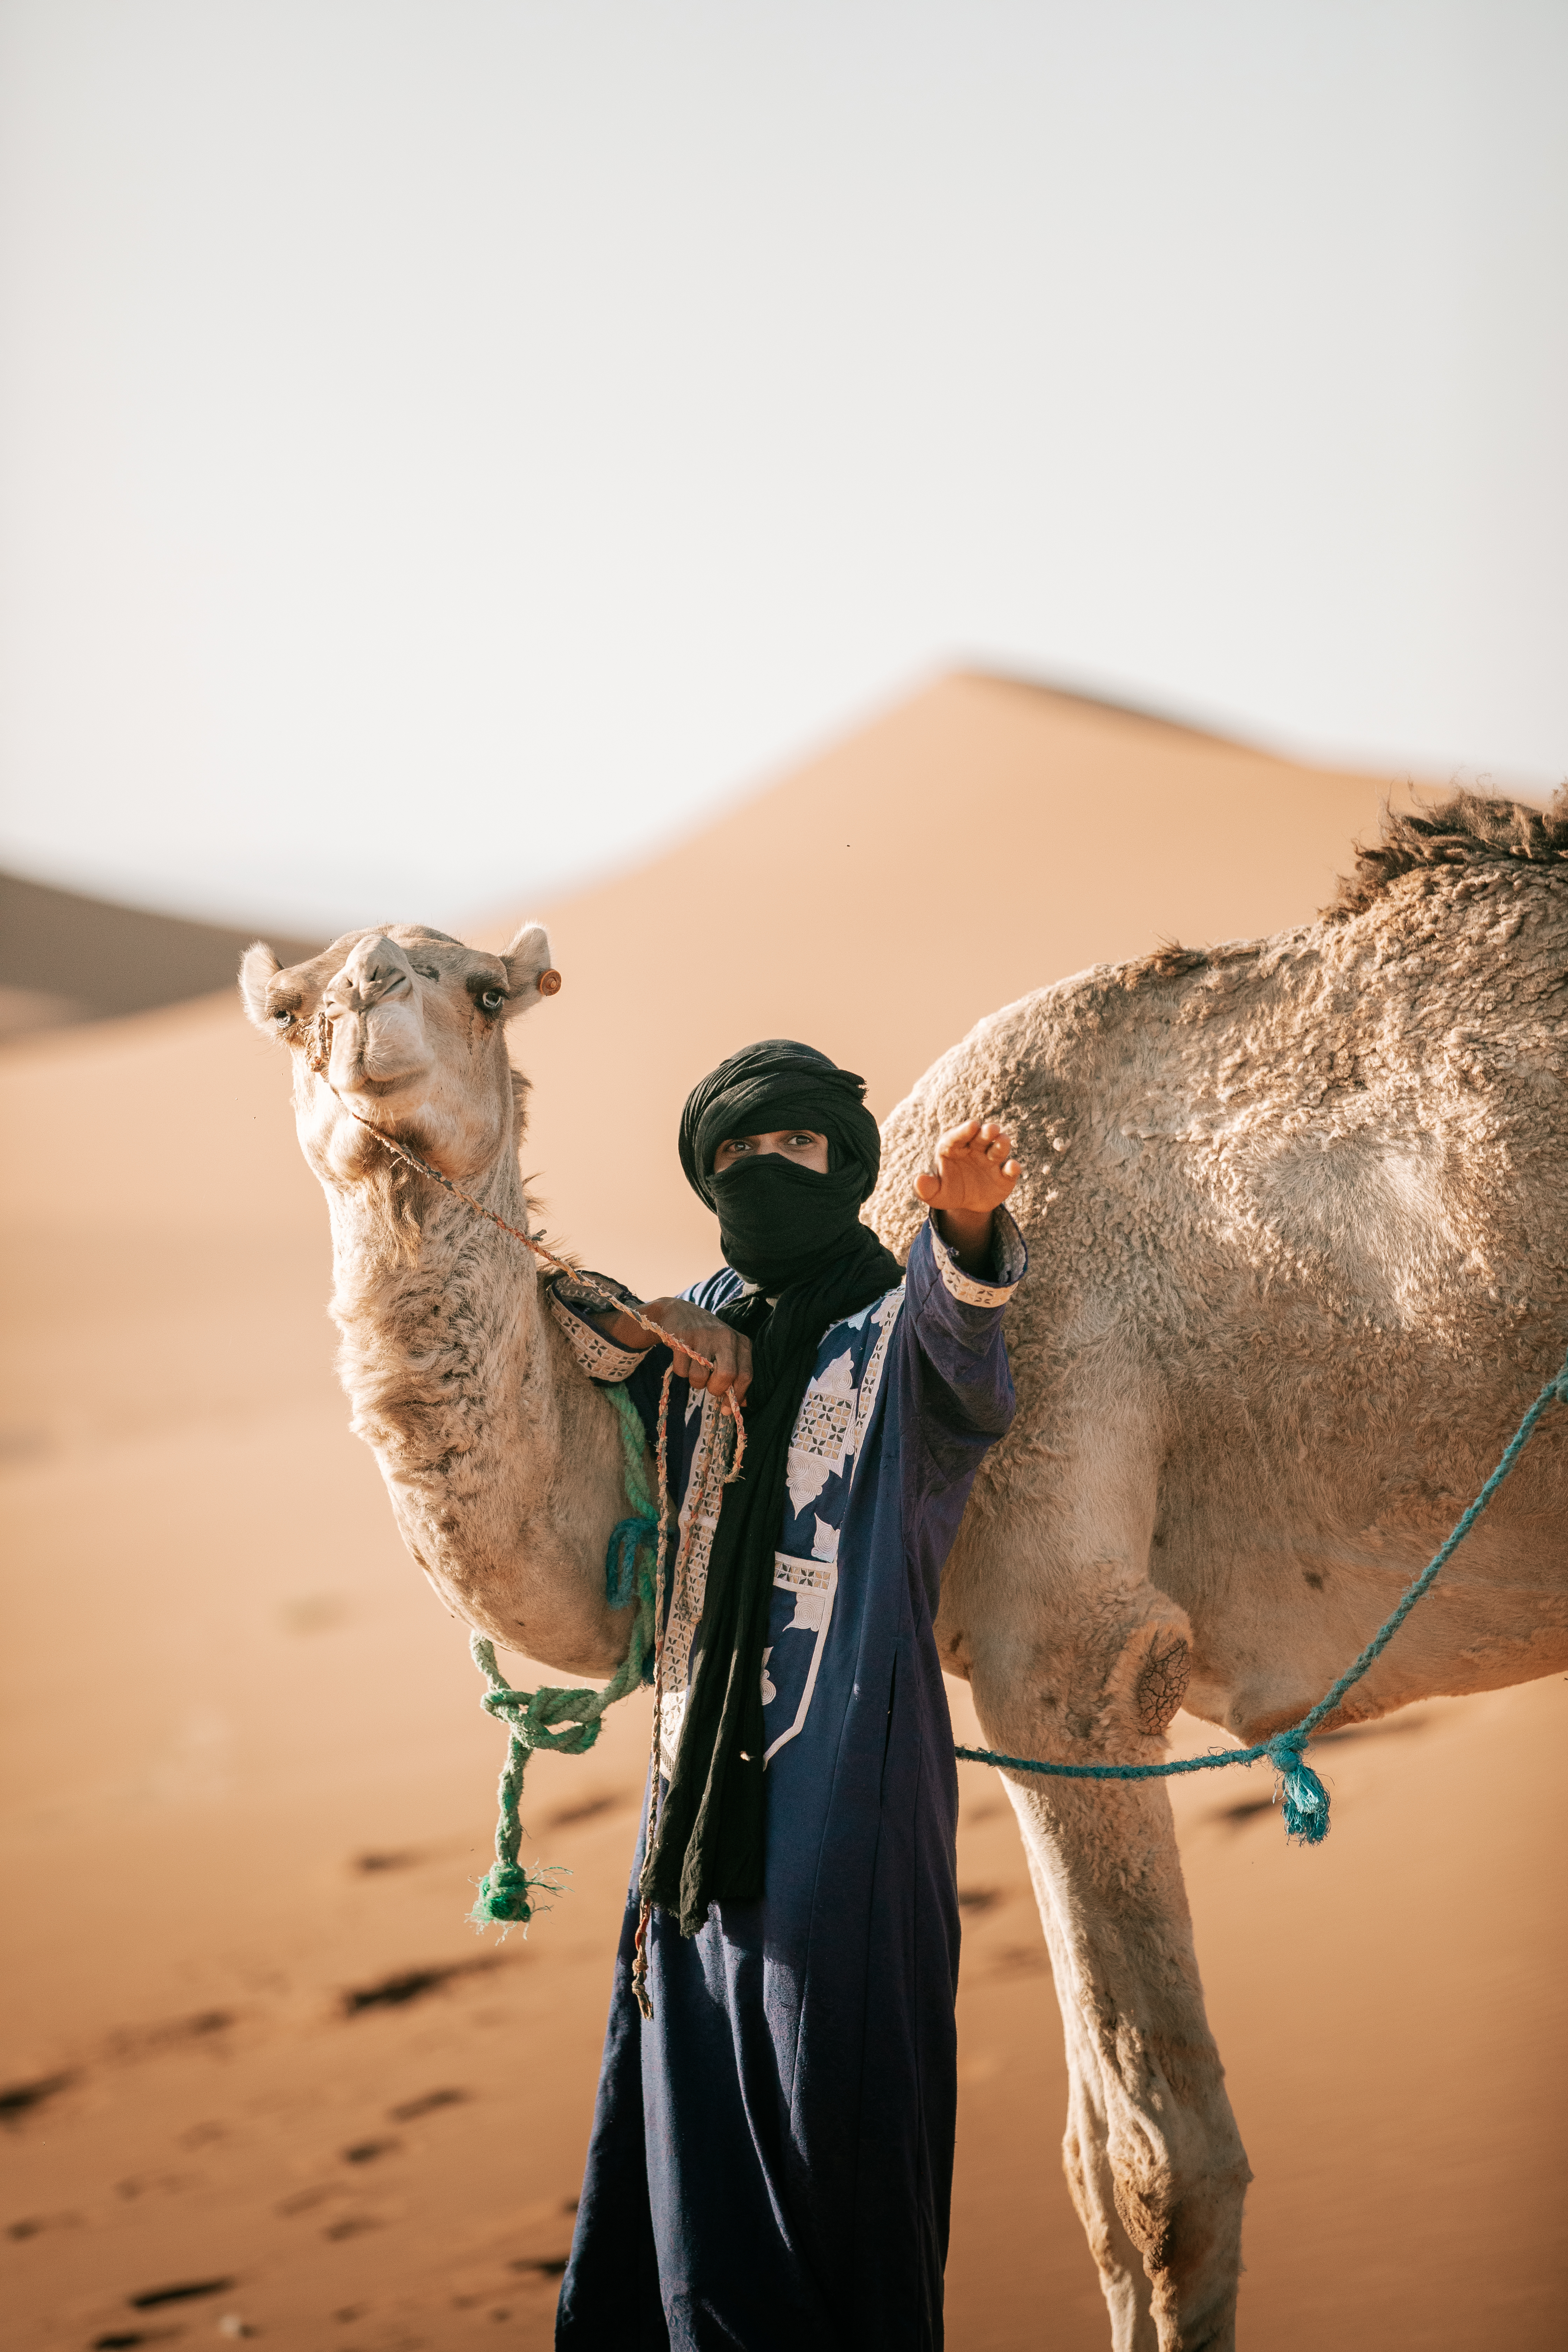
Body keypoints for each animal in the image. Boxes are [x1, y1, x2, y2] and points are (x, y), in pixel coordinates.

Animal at [242, 788, 1568, 2351]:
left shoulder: (1069, 1650)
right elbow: (1104, 2163)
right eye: (294, 1012)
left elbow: (1149, 2165)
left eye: (486, 992)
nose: (372, 1026)